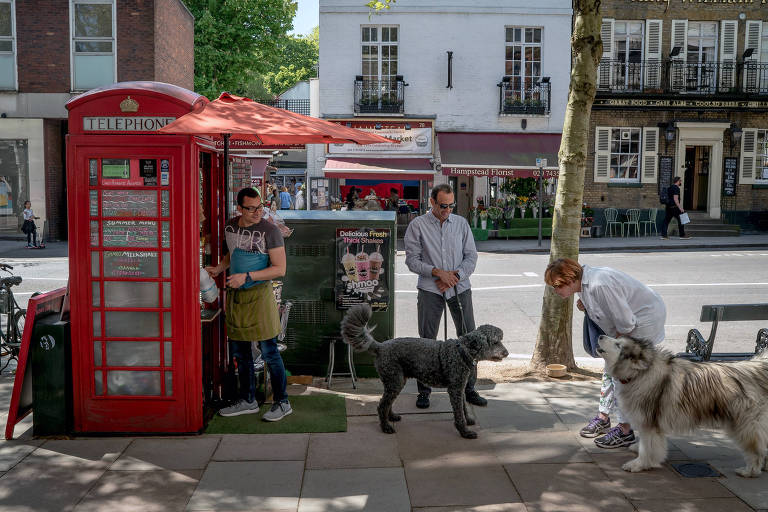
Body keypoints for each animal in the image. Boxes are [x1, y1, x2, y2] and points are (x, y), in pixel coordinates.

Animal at [340, 304, 508, 440]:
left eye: (500, 340)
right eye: (495, 342)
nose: (506, 353)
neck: (461, 352)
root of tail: (380, 346)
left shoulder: (460, 388)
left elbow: (463, 407)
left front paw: (468, 421)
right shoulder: (455, 389)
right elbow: (458, 412)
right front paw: (464, 432)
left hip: (396, 381)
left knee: (387, 403)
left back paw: (391, 417)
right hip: (394, 380)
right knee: (381, 405)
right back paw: (385, 427)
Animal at [596, 334, 768, 478]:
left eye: (618, 345)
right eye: (617, 340)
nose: (600, 335)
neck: (641, 373)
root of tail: (754, 368)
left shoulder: (648, 422)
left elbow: (647, 447)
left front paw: (639, 464)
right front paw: (638, 449)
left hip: (745, 425)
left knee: (756, 449)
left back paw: (750, 470)